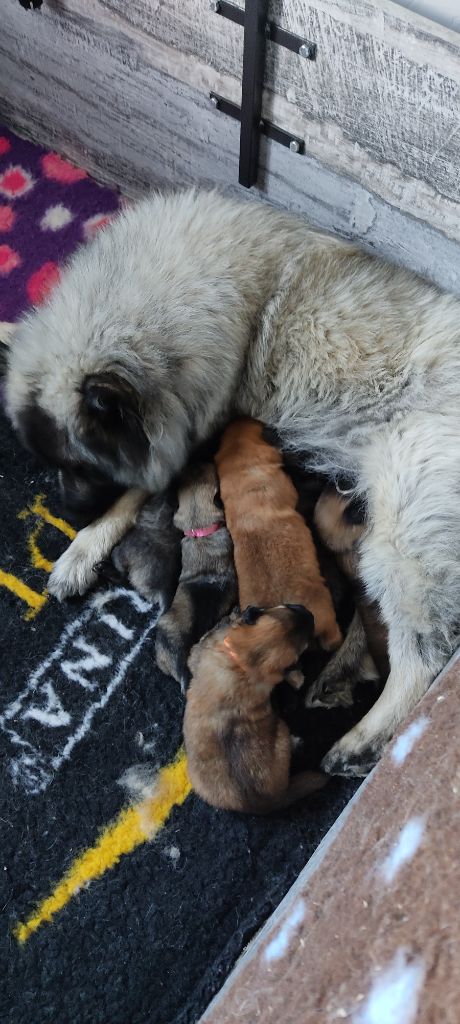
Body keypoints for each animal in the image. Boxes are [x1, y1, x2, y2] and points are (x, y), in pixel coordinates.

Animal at [181, 602, 323, 811]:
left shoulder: (198, 653)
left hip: (280, 731)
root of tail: (265, 802)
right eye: (288, 606)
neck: (245, 662)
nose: (311, 614)